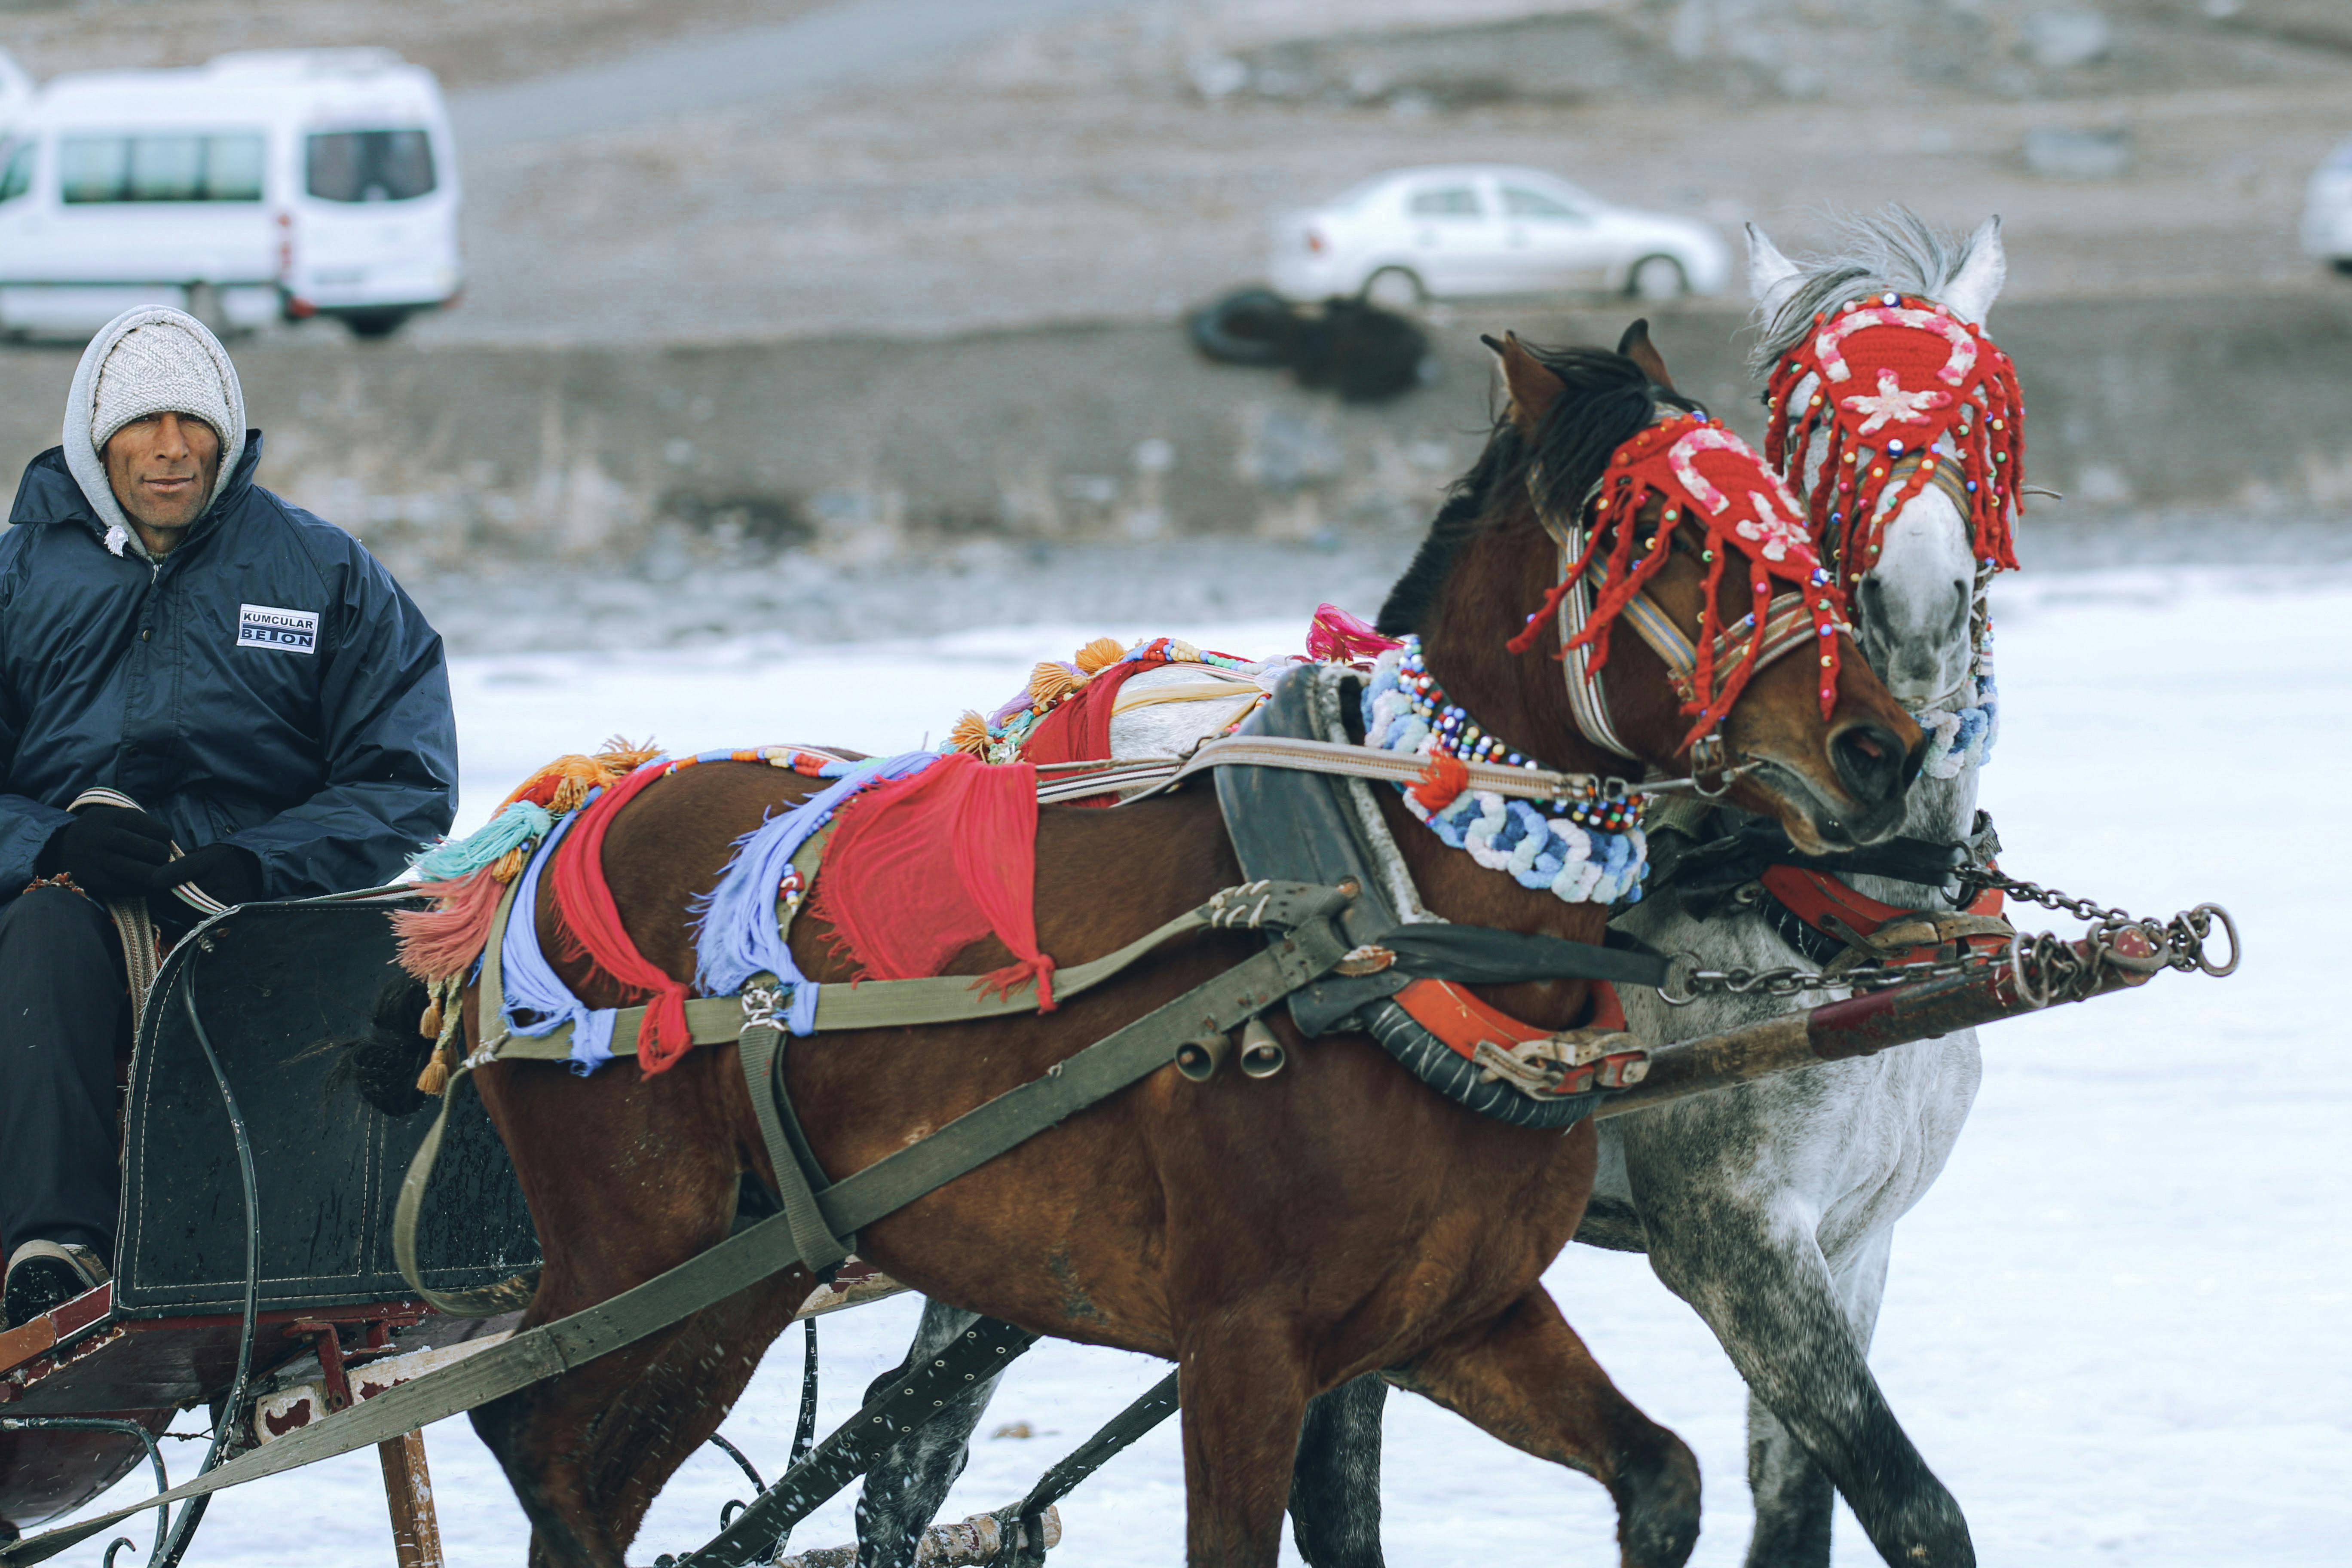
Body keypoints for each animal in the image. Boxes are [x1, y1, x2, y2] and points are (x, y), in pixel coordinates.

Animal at [463, 324, 1929, 1561]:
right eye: (1665, 536)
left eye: (1791, 510)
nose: (1881, 748)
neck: (1383, 920)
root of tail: (574, 823)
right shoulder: (1245, 1343)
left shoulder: (1455, 1313)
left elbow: (1663, 1475)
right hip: (635, 1249)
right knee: (539, 1444)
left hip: (743, 1271)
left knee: (599, 1467)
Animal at [856, 211, 2013, 1568]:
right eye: (1812, 429)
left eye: (1979, 423)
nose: (1915, 608)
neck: (1829, 915)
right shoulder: (1737, 1243)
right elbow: (1912, 1506)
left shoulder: (1850, 1242)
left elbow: (1799, 1511)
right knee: (911, 1444)